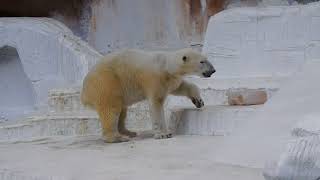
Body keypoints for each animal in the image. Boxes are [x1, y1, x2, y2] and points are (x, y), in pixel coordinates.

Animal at [80, 47, 215, 143]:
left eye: (206, 58)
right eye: (202, 61)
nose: (213, 70)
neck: (166, 65)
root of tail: (84, 94)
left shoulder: (171, 80)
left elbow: (181, 87)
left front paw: (198, 101)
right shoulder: (155, 79)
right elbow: (156, 103)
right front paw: (163, 134)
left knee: (122, 110)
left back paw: (128, 132)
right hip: (107, 83)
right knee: (111, 108)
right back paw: (117, 138)